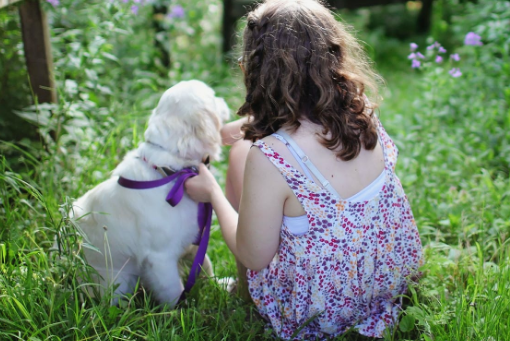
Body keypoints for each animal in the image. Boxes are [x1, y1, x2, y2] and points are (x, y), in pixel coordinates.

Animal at [70, 79, 230, 306]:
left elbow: (204, 266)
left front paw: (220, 286)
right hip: (118, 282)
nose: (224, 100)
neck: (170, 172)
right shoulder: (160, 258)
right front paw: (182, 311)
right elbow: (174, 292)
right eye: (213, 96)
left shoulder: (193, 240)